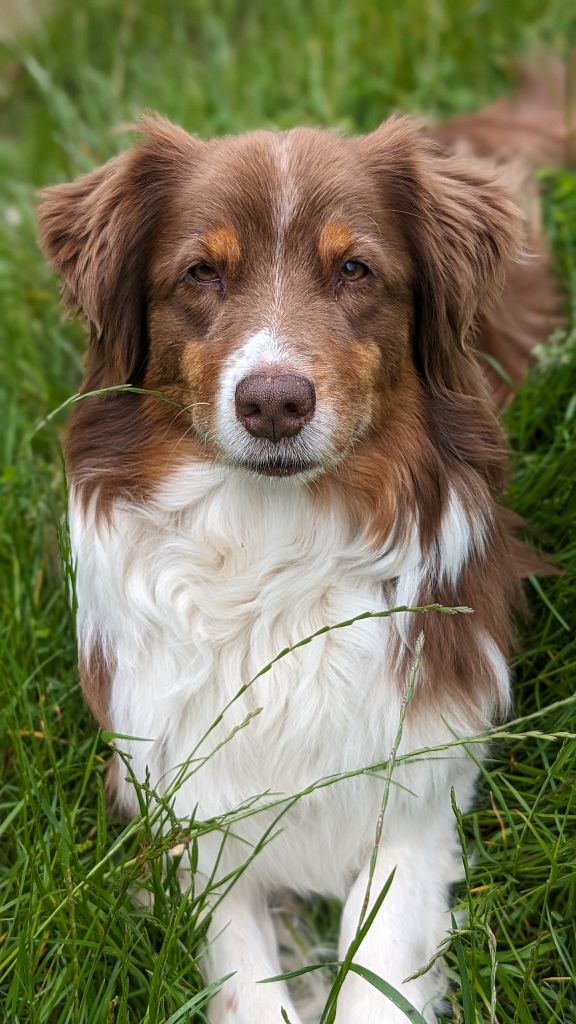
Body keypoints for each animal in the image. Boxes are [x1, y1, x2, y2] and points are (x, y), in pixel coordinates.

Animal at [38, 70, 565, 1024]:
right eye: (201, 273)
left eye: (355, 269)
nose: (274, 403)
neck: (270, 542)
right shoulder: (183, 794)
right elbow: (245, 966)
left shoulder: (420, 774)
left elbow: (377, 957)